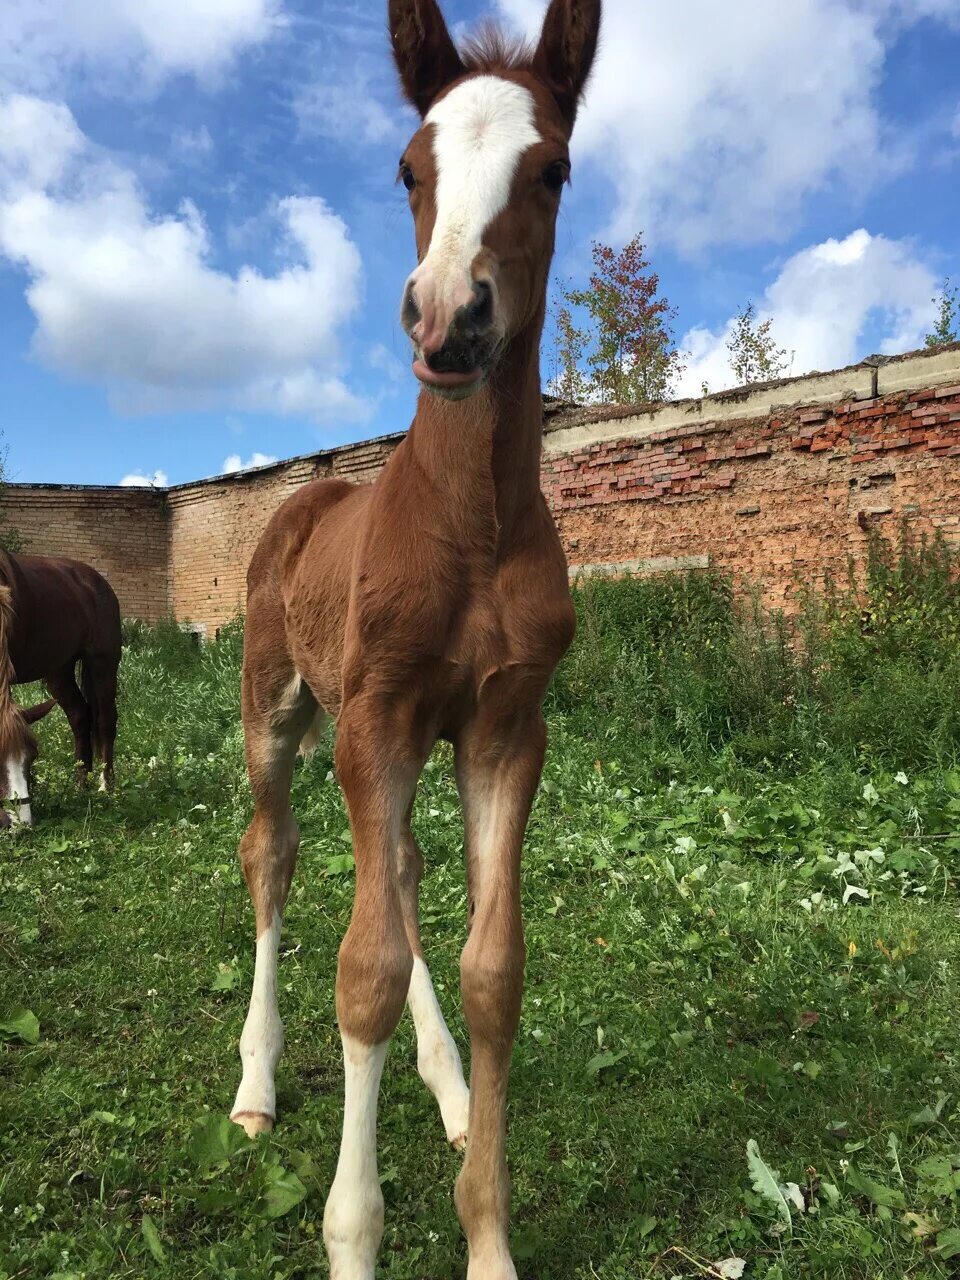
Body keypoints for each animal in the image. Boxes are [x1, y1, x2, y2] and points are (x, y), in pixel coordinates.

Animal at [0, 552, 122, 829]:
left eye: (33, 756)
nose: (20, 823)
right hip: (59, 671)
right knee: (79, 716)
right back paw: (80, 785)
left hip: (103, 663)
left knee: (105, 722)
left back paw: (104, 786)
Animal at [227, 5, 599, 1274]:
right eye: (407, 166)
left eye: (554, 168)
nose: (448, 319)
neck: (470, 525)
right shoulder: (376, 719)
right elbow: (364, 972)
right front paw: (353, 1233)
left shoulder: (503, 729)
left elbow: (493, 968)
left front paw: (486, 1232)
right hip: (281, 712)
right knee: (274, 856)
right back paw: (255, 1080)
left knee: (396, 870)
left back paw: (445, 1089)